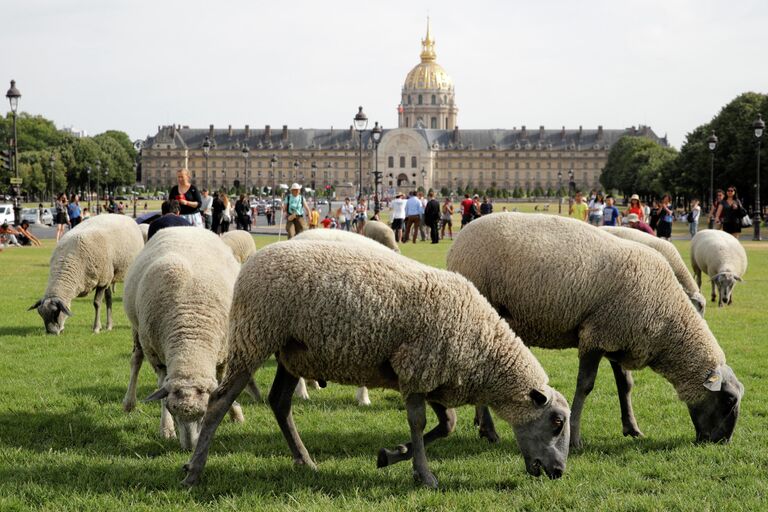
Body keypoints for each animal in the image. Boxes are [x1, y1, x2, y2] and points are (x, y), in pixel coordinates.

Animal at [123, 227, 260, 448]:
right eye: (173, 411)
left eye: (204, 414)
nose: (189, 448)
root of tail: (184, 227)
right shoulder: (157, 357)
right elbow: (161, 389)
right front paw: (166, 429)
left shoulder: (224, 352)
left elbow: (222, 383)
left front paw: (235, 413)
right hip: (137, 329)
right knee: (136, 360)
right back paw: (129, 403)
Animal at [183, 240, 572, 488]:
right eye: (556, 422)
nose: (558, 472)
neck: (486, 348)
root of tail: (253, 260)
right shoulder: (417, 368)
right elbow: (420, 423)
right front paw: (424, 475)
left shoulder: (432, 376)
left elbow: (447, 424)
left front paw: (391, 454)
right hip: (255, 336)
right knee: (219, 403)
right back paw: (193, 472)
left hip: (291, 353)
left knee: (279, 402)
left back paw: (305, 461)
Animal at [450, 212, 744, 448]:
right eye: (729, 400)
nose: (723, 442)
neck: (666, 317)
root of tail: (461, 235)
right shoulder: (595, 336)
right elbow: (585, 386)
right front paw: (575, 438)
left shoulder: (620, 338)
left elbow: (625, 386)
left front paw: (632, 427)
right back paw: (489, 431)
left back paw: (481, 423)